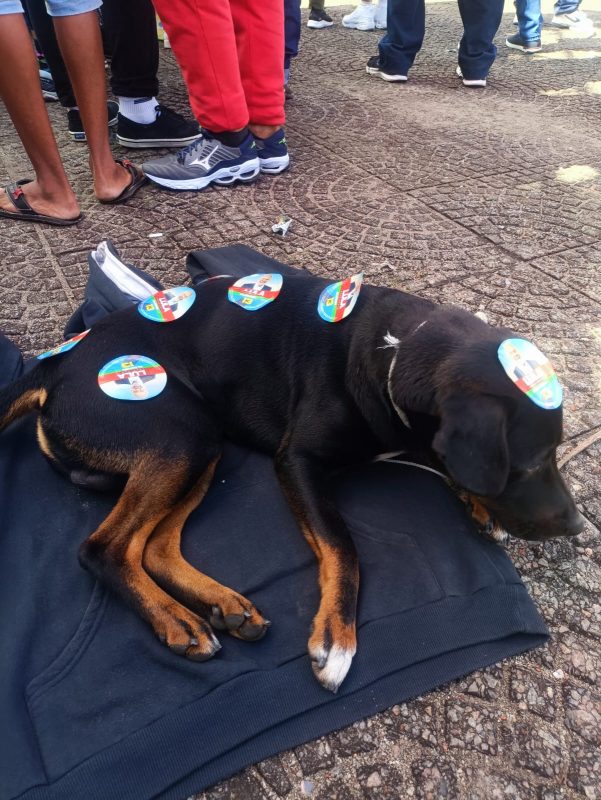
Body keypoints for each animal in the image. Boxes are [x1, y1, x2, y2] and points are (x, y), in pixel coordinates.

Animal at [0, 272, 584, 692]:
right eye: (530, 463)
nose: (578, 525)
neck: (394, 351)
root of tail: (54, 364)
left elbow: (443, 460)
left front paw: (479, 503)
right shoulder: (297, 461)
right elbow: (344, 548)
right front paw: (337, 637)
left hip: (201, 444)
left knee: (156, 547)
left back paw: (223, 606)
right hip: (179, 433)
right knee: (105, 548)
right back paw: (177, 621)